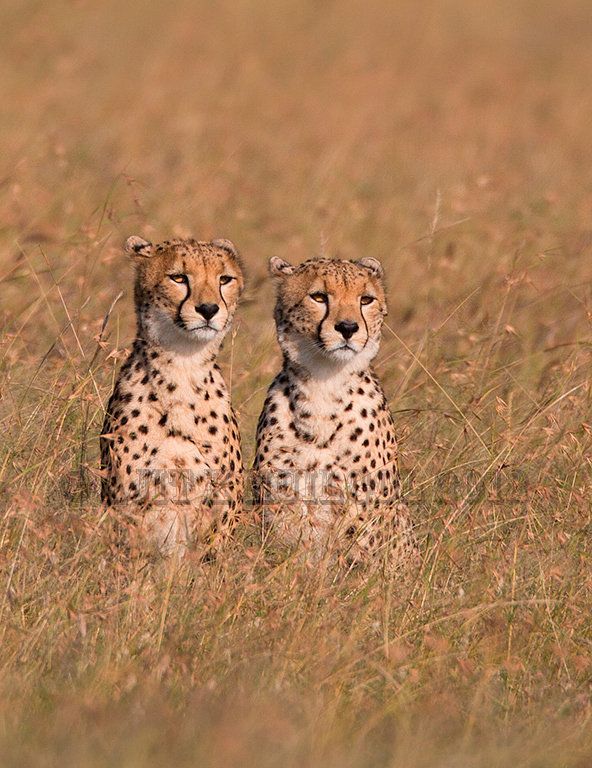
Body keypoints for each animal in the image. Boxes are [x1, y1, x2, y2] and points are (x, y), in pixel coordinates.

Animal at [252, 255, 417, 570]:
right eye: (319, 297)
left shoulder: (364, 507)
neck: (323, 384)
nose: (348, 327)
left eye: (366, 299)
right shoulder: (282, 497)